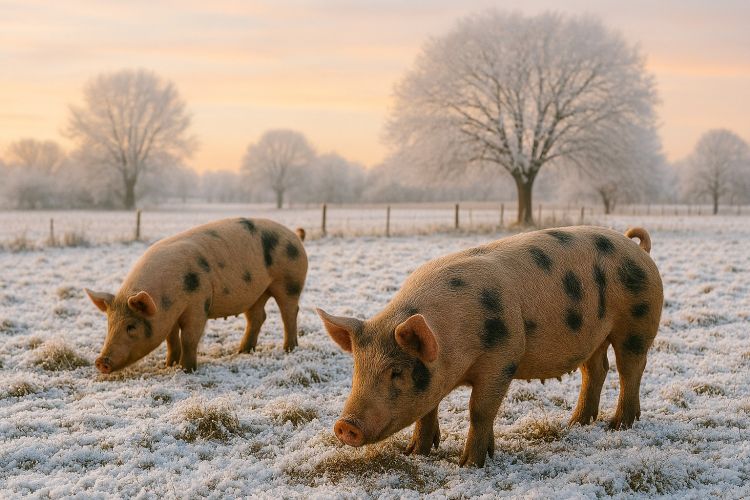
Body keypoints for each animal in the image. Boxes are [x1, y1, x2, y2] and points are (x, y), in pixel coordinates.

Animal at [85, 217, 307, 374]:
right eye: (109, 325)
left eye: (131, 326)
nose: (100, 362)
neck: (166, 302)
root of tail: (295, 236)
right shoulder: (170, 316)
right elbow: (171, 339)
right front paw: (168, 365)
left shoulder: (198, 303)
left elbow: (189, 338)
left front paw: (186, 370)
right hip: (257, 292)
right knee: (258, 317)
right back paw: (243, 351)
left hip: (289, 281)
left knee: (289, 312)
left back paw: (288, 349)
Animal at [317, 226, 662, 467]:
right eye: (357, 369)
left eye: (396, 372)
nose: (345, 425)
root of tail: (638, 249)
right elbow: (427, 410)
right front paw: (415, 453)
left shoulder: (503, 357)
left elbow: (480, 410)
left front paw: (470, 464)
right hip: (593, 337)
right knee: (596, 369)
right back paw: (576, 423)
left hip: (637, 321)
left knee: (630, 369)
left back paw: (618, 426)